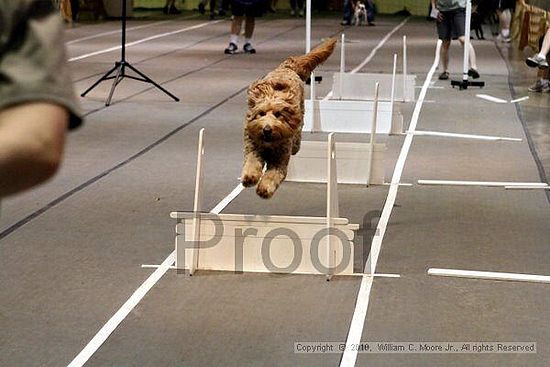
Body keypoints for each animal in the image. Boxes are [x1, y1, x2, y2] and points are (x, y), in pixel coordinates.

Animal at [243, 38, 338, 198]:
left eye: (278, 114)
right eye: (261, 113)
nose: (267, 129)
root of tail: (288, 65)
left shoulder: (280, 159)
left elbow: (272, 175)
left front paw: (264, 189)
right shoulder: (253, 147)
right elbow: (251, 162)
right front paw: (249, 177)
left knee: (297, 140)